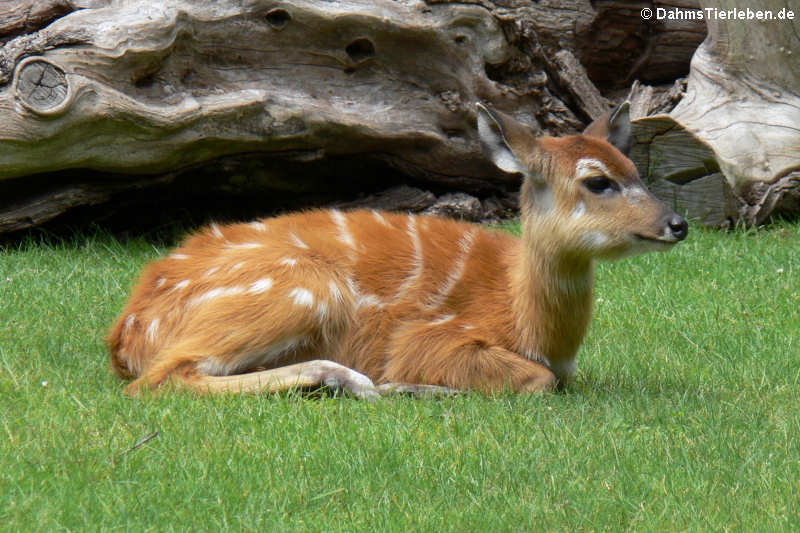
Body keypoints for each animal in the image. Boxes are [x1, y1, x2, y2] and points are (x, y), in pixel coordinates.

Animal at [108, 102, 688, 396]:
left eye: (635, 169)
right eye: (597, 182)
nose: (677, 224)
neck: (527, 319)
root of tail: (127, 333)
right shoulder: (427, 337)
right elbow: (537, 381)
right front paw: (420, 385)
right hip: (300, 286)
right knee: (163, 378)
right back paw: (355, 382)